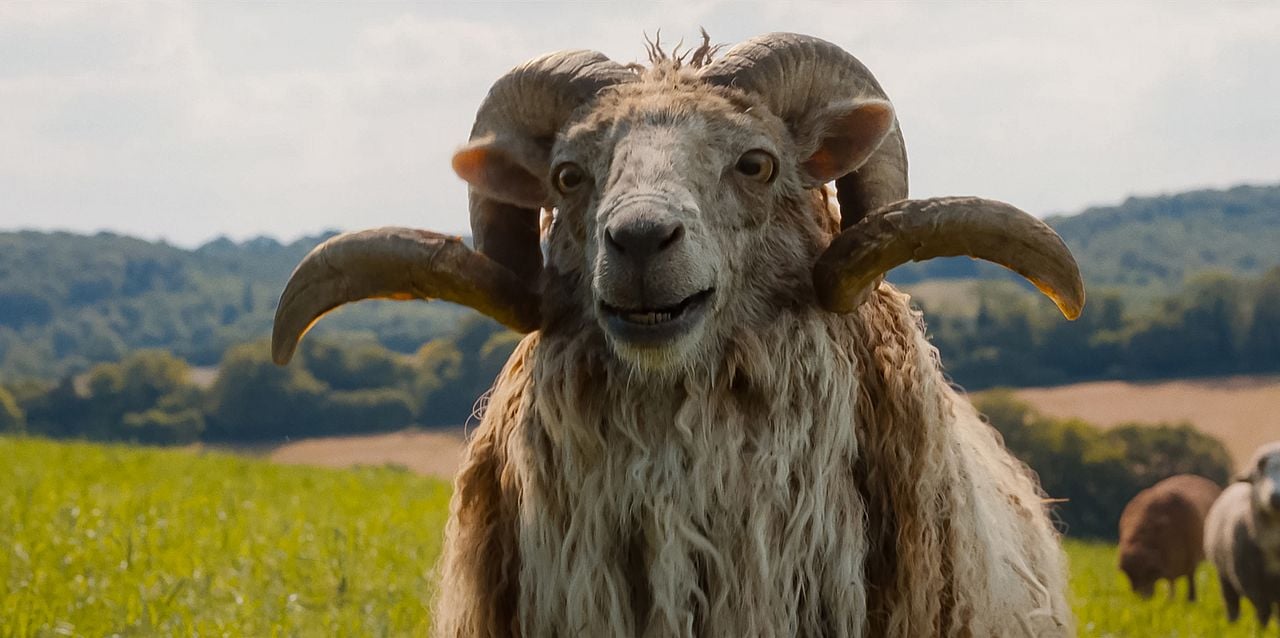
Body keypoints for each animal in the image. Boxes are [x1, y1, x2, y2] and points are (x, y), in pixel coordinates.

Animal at [1205, 442, 1280, 627]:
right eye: (1259, 474)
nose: (1276, 498)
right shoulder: (1248, 578)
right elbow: (1262, 611)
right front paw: (1261, 630)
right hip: (1224, 577)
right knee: (1232, 605)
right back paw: (1231, 626)